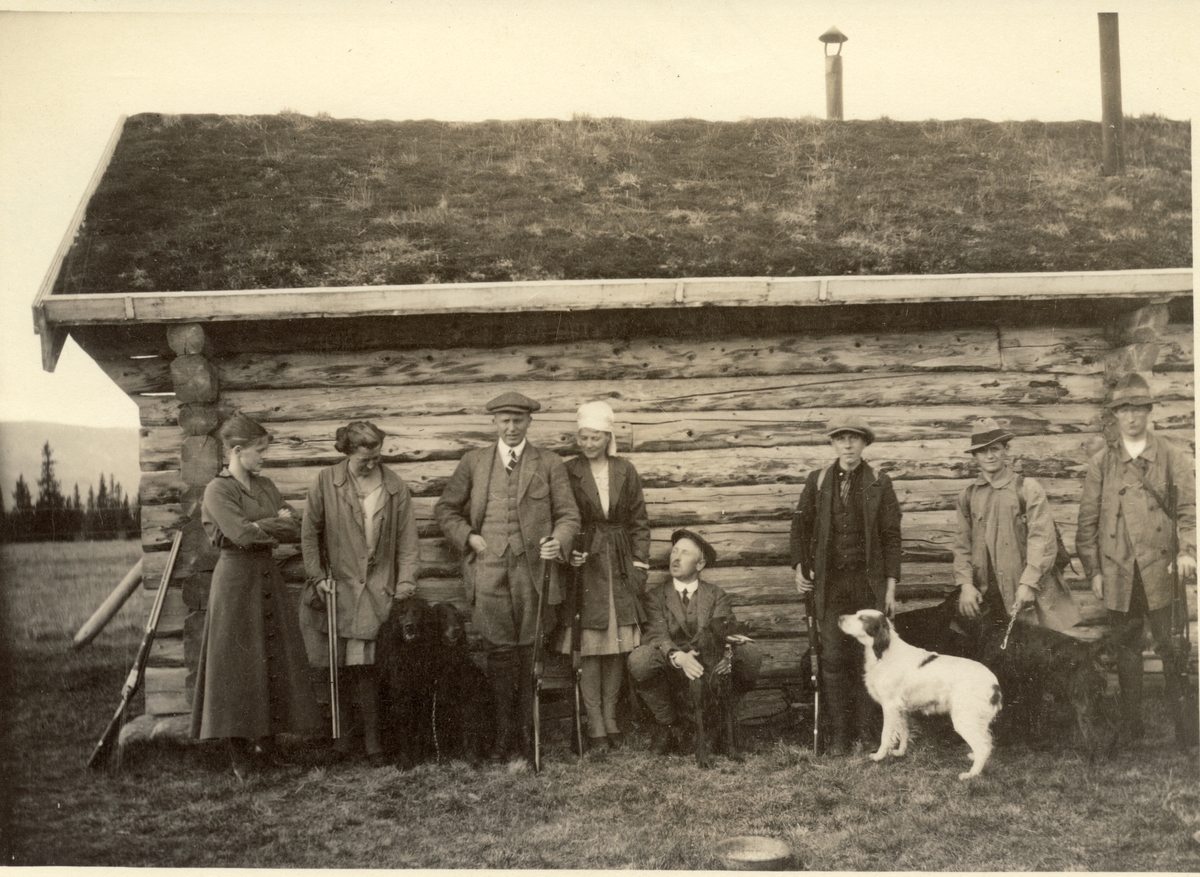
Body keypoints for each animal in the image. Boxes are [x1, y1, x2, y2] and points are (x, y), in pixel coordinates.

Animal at [376, 592, 439, 772]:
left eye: (417, 612)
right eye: (401, 614)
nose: (409, 626)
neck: (411, 652)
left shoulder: (424, 697)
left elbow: (419, 730)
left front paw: (417, 757)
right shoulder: (400, 697)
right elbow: (403, 730)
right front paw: (404, 761)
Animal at [429, 604, 494, 767]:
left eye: (458, 616)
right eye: (443, 616)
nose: (457, 630)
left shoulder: (469, 703)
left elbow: (468, 731)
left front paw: (472, 757)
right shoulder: (440, 703)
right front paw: (444, 756)